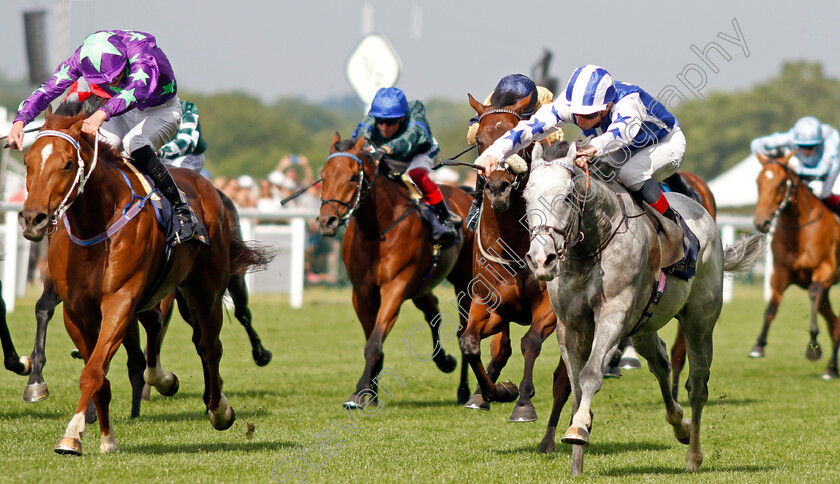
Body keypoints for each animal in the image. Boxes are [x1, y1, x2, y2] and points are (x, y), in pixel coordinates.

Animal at [18, 101, 270, 454]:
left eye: (68, 164)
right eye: (27, 161)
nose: (33, 219)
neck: (95, 224)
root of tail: (207, 187)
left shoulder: (120, 300)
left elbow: (93, 371)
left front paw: (71, 435)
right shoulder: (76, 310)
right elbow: (97, 369)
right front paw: (106, 437)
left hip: (206, 290)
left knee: (210, 345)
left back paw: (219, 407)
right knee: (160, 329)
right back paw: (162, 380)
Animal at [318, 134, 476, 406]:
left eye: (352, 177)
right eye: (323, 175)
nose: (327, 221)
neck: (377, 231)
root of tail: (464, 193)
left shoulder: (395, 288)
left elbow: (373, 343)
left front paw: (359, 392)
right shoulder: (362, 294)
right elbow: (373, 340)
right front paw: (370, 393)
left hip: (462, 281)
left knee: (462, 331)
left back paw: (464, 390)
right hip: (422, 283)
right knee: (432, 312)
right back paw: (444, 361)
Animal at [524, 141, 768, 476]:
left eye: (567, 197)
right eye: (526, 197)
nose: (541, 260)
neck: (592, 245)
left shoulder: (613, 315)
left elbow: (590, 375)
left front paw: (579, 430)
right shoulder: (570, 326)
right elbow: (575, 387)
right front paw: (576, 456)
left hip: (699, 322)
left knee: (697, 385)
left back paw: (694, 455)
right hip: (643, 326)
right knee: (661, 363)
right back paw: (680, 424)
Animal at [752, 151, 840, 378]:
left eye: (781, 183)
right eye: (758, 181)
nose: (761, 223)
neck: (800, 230)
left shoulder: (825, 271)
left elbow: (813, 294)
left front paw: (814, 346)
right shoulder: (781, 274)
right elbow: (772, 306)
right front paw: (759, 345)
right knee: (836, 324)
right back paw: (831, 368)